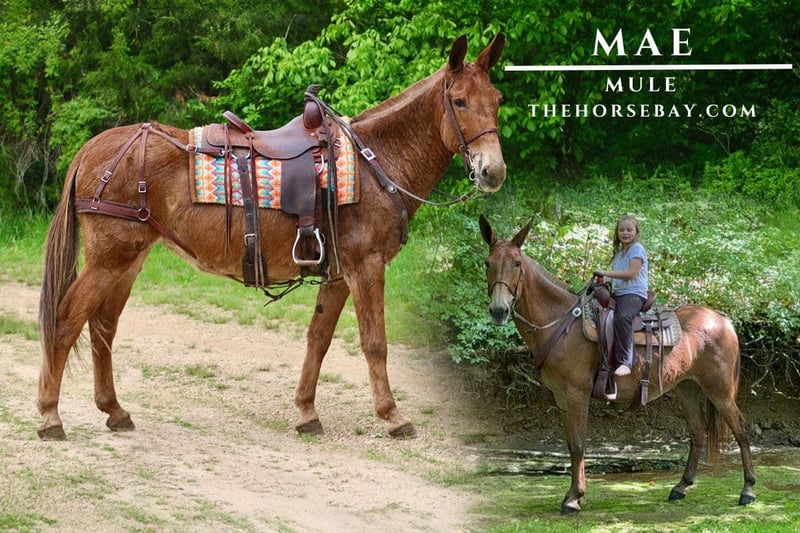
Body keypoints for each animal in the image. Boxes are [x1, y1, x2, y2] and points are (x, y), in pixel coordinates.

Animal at [35, 33, 507, 442]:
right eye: (460, 101)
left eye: (497, 101)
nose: (493, 171)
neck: (376, 162)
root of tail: (91, 148)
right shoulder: (366, 266)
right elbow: (375, 343)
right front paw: (392, 416)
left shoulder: (338, 274)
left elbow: (318, 339)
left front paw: (306, 412)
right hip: (109, 260)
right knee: (65, 321)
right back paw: (50, 416)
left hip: (127, 262)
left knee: (102, 327)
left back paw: (114, 411)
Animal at [478, 215, 756, 514]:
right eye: (488, 263)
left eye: (517, 263)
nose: (499, 310)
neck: (561, 322)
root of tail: (722, 318)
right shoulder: (561, 397)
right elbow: (570, 445)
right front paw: (572, 495)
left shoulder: (576, 394)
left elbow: (578, 445)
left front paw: (574, 498)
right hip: (688, 388)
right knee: (697, 433)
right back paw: (681, 487)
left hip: (719, 391)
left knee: (741, 429)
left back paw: (748, 489)